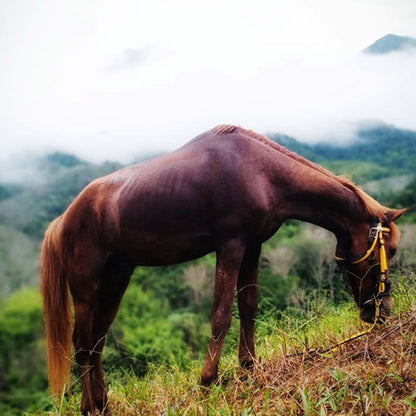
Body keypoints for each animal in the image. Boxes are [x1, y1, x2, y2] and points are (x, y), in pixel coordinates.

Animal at [40, 125, 404, 414]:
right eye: (388, 251)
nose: (381, 312)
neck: (261, 172)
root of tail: (63, 220)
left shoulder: (253, 247)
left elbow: (248, 306)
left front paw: (249, 366)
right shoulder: (230, 246)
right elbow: (221, 314)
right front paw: (208, 379)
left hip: (116, 280)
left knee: (97, 342)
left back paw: (102, 403)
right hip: (86, 289)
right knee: (82, 343)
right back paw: (89, 406)